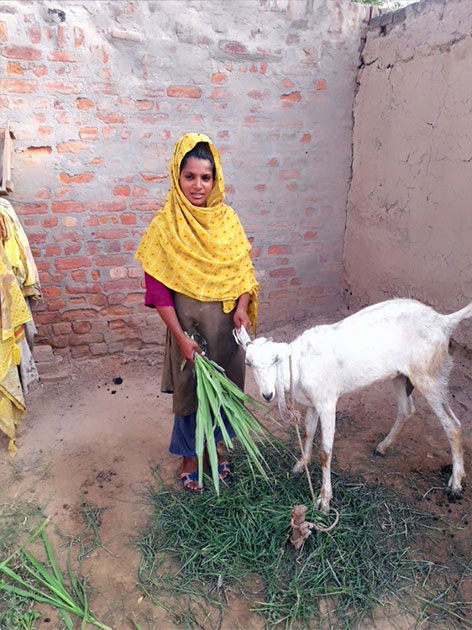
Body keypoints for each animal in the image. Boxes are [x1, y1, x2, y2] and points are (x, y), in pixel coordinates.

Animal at [234, 300, 470, 512]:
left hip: (429, 374)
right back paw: (383, 447)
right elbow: (308, 433)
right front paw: (300, 466)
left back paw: (456, 483)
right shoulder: (313, 403)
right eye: (248, 363)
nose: (267, 394)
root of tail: (443, 321)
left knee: (452, 423)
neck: (299, 365)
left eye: (276, 359)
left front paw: (324, 501)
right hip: (401, 375)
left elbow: (325, 452)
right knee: (407, 409)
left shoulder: (327, 402)